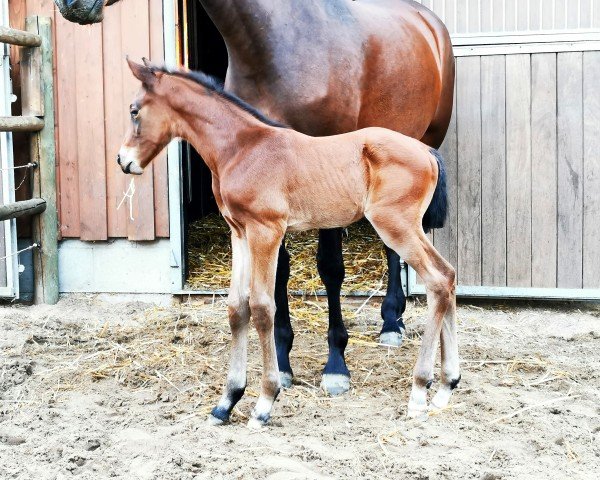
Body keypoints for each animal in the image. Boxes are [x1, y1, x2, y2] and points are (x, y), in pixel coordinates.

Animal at [118, 61, 460, 428]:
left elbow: (262, 307)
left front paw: (264, 402)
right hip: (407, 227)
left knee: (438, 281)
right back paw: (446, 386)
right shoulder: (239, 232)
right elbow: (236, 309)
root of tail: (426, 151)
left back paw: (420, 391)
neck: (242, 147)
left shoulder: (265, 230)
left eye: (134, 110)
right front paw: (226, 402)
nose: (123, 161)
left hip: (396, 225)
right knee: (448, 277)